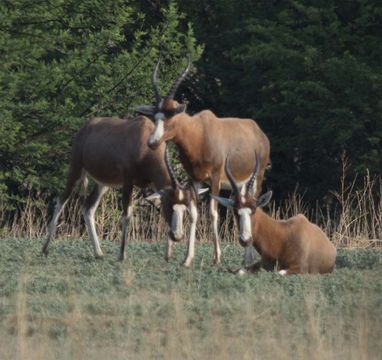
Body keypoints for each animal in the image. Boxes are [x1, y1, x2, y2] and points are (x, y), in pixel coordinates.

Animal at [43, 116, 207, 262]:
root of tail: (85, 128)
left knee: (88, 208)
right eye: (170, 207)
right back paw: (45, 249)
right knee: (61, 200)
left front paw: (168, 255)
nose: (177, 236)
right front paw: (122, 255)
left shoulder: (153, 184)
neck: (142, 137)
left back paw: (99, 253)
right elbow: (127, 214)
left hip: (103, 184)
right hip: (76, 169)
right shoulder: (128, 181)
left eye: (184, 209)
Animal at [136, 59, 270, 264]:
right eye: (155, 116)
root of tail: (259, 132)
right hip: (238, 184)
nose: (152, 142)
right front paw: (187, 259)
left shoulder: (214, 178)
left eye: (171, 115)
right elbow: (194, 213)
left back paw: (248, 258)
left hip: (257, 177)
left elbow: (213, 214)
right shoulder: (195, 179)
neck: (199, 133)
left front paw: (217, 258)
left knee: (253, 203)